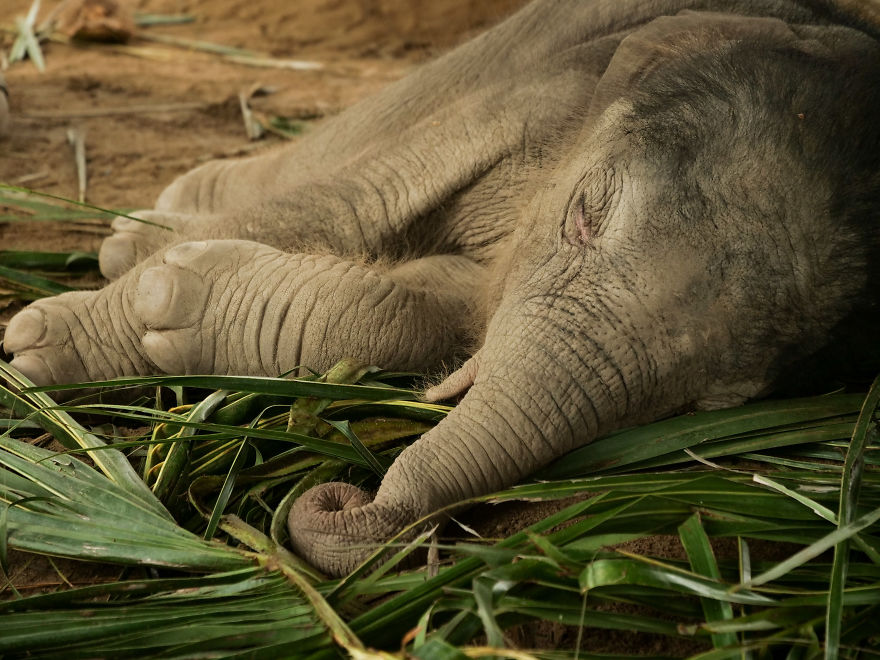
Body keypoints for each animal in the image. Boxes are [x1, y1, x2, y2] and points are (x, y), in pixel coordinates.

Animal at [3, 0, 880, 577]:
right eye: (584, 216)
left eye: (715, 402)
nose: (344, 498)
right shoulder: (546, 88)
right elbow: (356, 205)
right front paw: (52, 341)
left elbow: (431, 312)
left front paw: (162, 304)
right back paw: (139, 231)